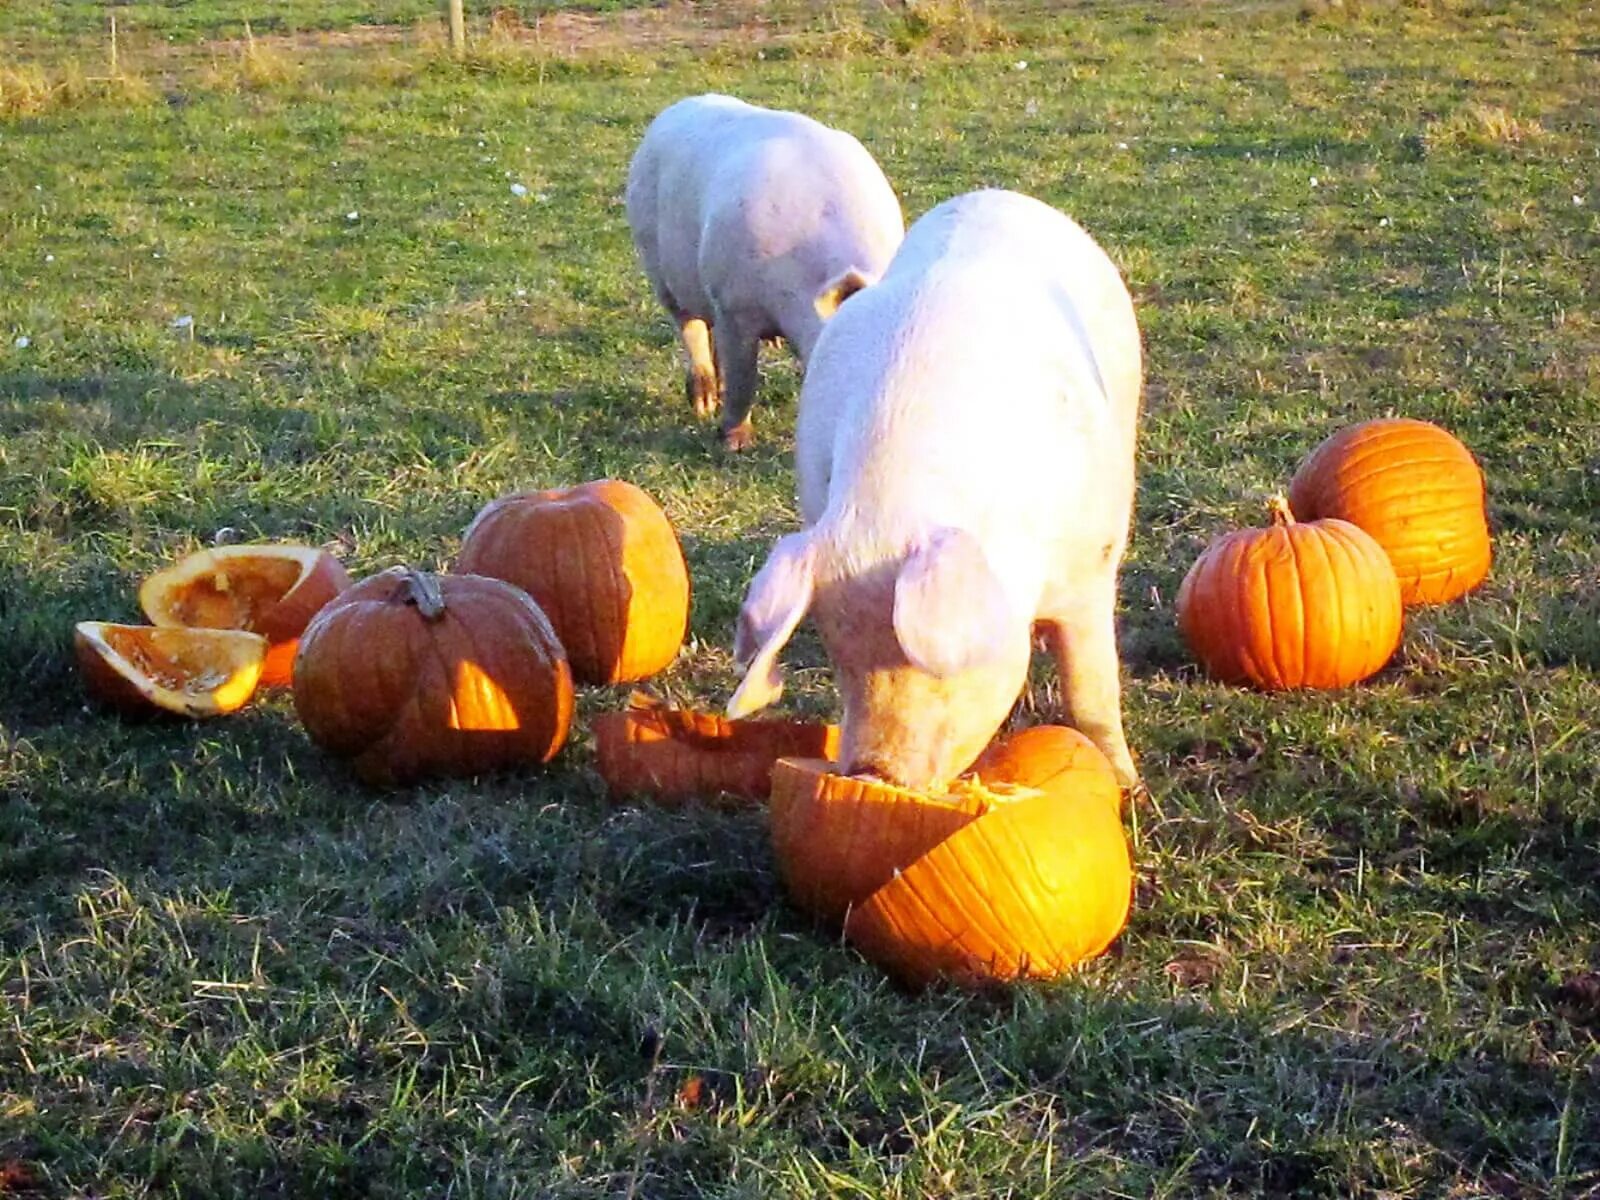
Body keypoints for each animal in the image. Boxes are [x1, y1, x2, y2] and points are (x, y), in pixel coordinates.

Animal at [620, 95, 902, 451]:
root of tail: (675, 108)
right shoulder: (732, 303)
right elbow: (744, 378)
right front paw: (735, 445)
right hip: (657, 262)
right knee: (690, 325)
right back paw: (704, 405)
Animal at [732, 192, 1145, 793]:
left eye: (928, 664)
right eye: (839, 658)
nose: (871, 772)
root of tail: (990, 193)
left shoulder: (1091, 565)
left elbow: (1092, 689)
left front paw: (1127, 787)